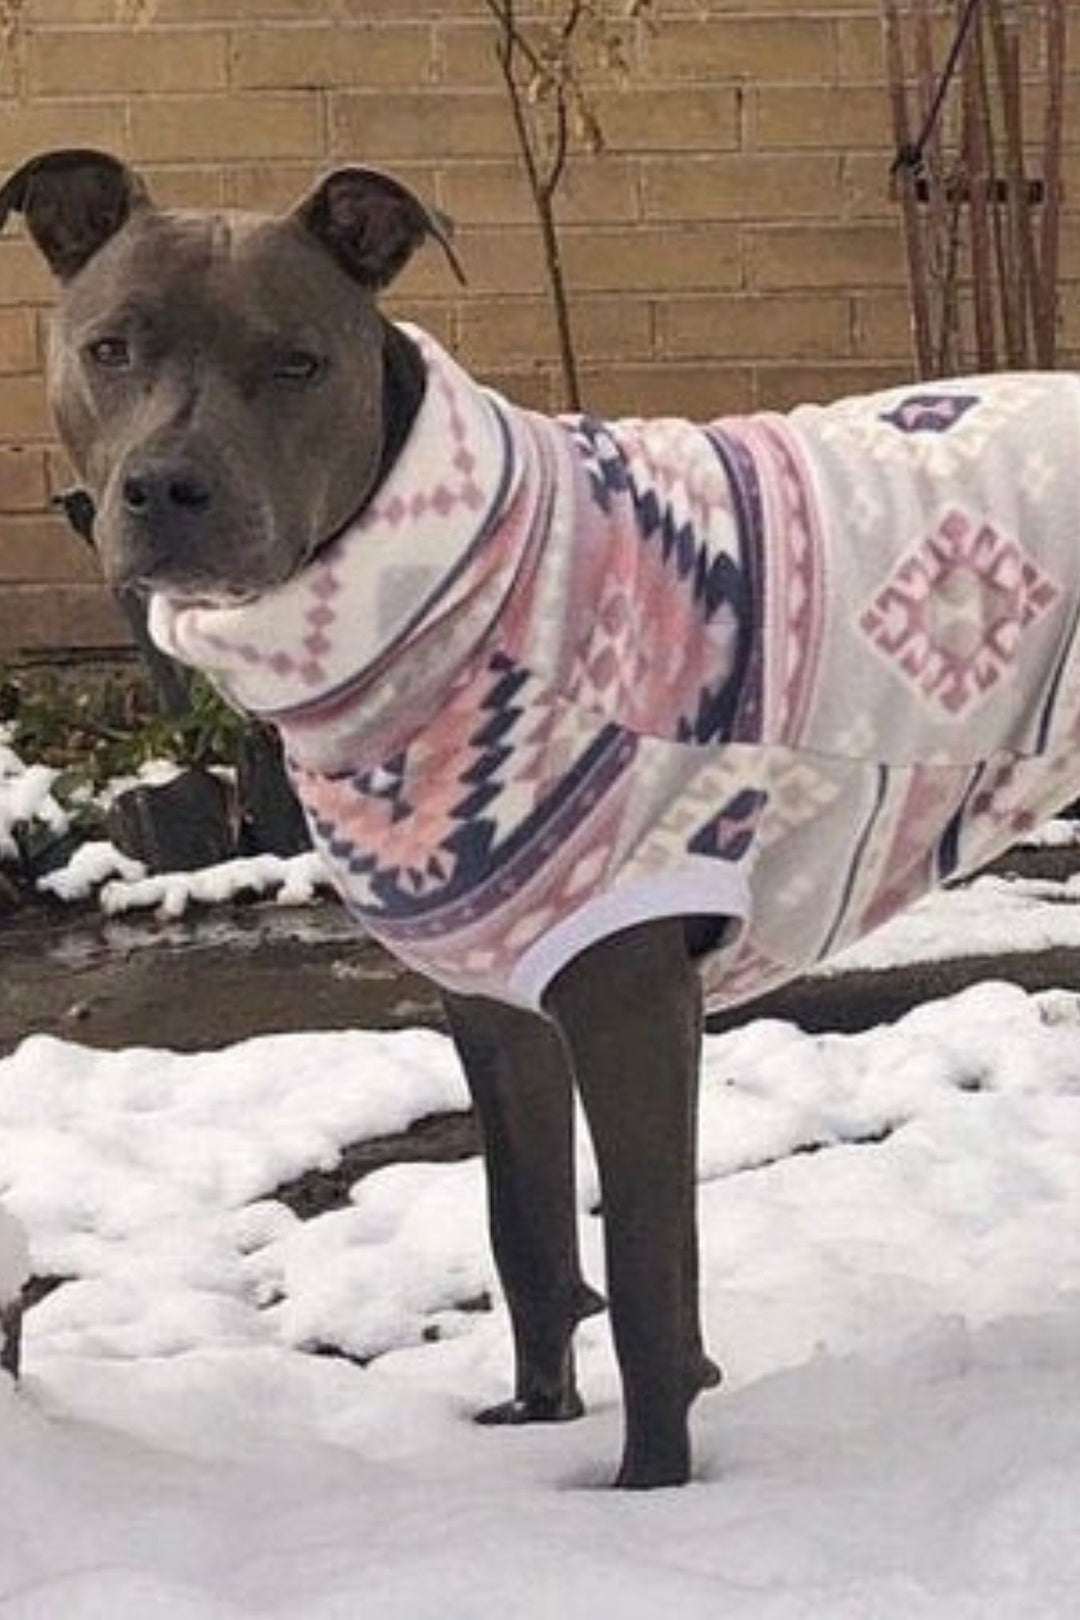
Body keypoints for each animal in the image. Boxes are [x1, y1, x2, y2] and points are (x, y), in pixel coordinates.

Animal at [6, 145, 1080, 1483]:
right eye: (111, 348)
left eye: (298, 362)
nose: (166, 487)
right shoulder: (493, 993)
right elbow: (526, 1233)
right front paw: (535, 1421)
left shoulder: (628, 985)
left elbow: (645, 1272)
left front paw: (650, 1489)